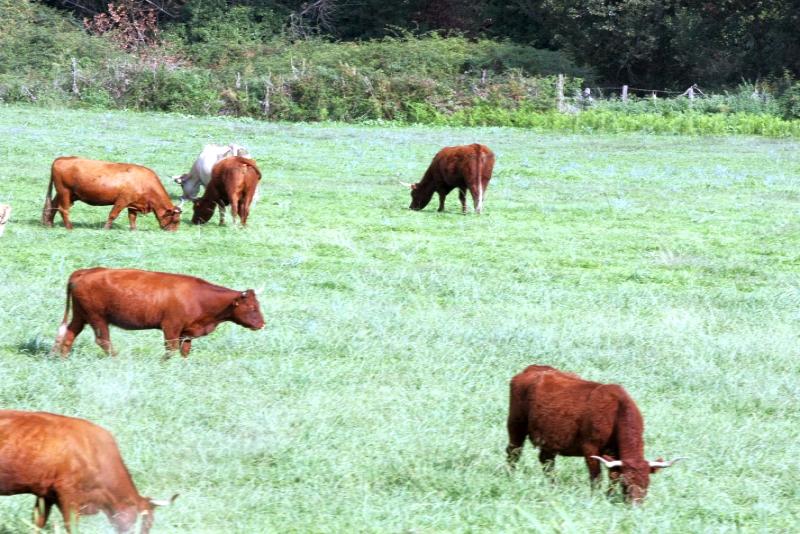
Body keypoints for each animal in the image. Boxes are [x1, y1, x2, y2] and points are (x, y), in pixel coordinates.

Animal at [42, 157, 182, 231]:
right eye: (175, 220)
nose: (173, 232)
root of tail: (61, 158)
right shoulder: (122, 200)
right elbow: (113, 215)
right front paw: (105, 229)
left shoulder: (133, 204)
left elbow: (132, 217)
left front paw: (134, 230)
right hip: (64, 192)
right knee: (63, 209)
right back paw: (69, 227)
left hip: (64, 194)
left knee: (52, 207)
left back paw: (49, 224)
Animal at [52, 267, 265, 358]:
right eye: (252, 308)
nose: (262, 324)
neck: (199, 297)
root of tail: (85, 272)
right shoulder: (171, 327)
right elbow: (170, 349)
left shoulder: (187, 332)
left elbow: (185, 351)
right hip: (97, 318)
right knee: (103, 340)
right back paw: (117, 358)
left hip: (81, 315)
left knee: (69, 334)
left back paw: (63, 358)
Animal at [506, 365, 683, 503]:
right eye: (626, 483)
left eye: (647, 483)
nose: (636, 506)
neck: (617, 411)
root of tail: (533, 369)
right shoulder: (590, 448)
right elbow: (596, 477)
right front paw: (596, 498)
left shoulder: (613, 454)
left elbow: (613, 476)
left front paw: (609, 497)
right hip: (515, 426)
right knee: (513, 453)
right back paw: (510, 477)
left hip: (550, 439)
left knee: (546, 461)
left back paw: (553, 486)